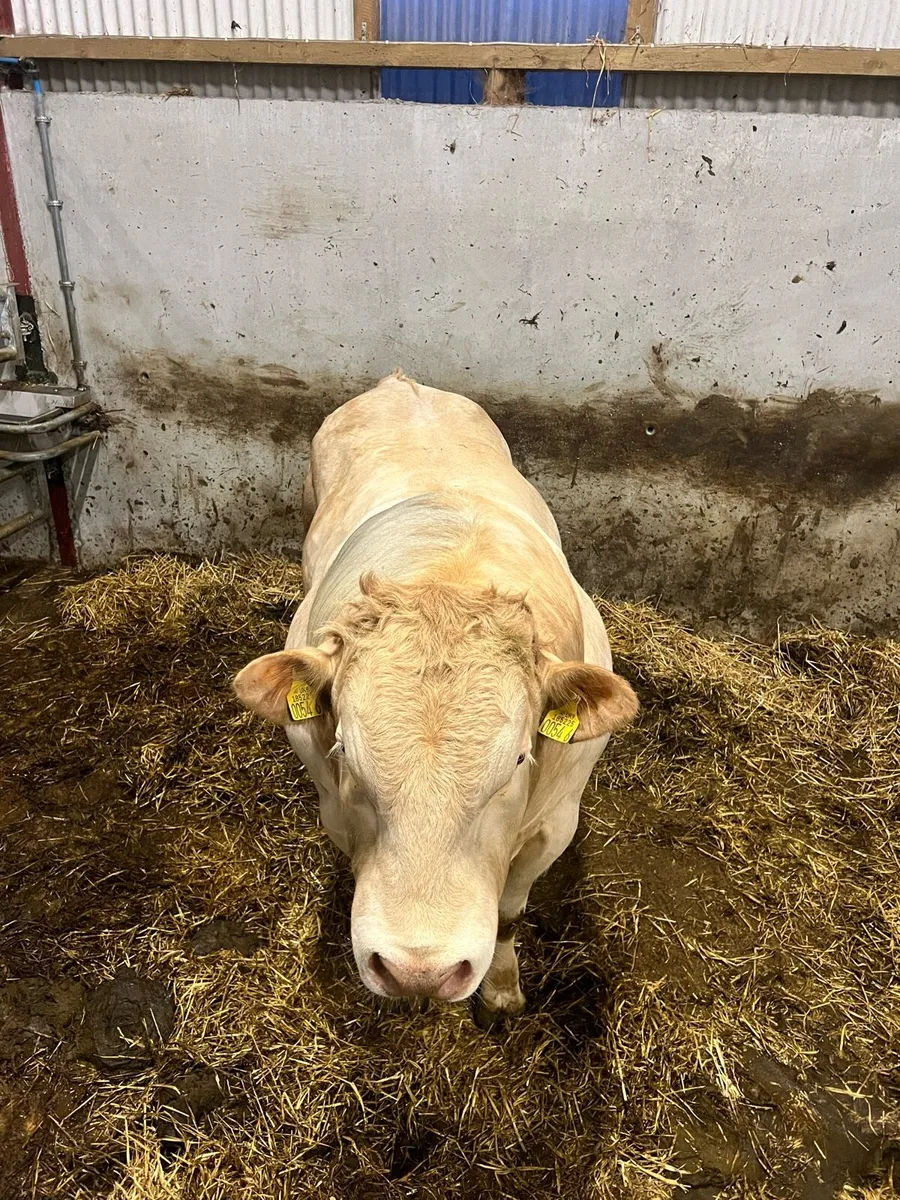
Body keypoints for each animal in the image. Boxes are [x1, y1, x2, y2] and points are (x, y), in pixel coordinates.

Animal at [233, 373, 638, 1026]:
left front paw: (502, 989)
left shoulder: (556, 822)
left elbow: (508, 913)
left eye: (519, 759)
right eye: (344, 752)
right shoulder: (331, 805)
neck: (450, 575)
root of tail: (402, 383)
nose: (417, 972)